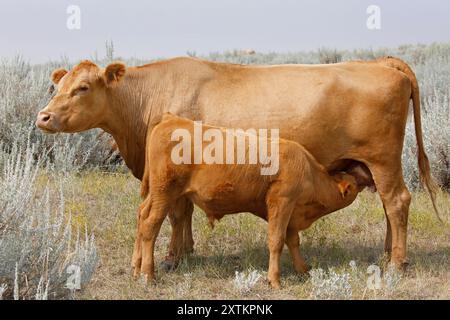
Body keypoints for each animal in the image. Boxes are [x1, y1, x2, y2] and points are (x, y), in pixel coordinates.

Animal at [36, 55, 440, 270]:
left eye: (83, 88)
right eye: (57, 86)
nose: (43, 116)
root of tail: (381, 63)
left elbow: (176, 214)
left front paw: (172, 257)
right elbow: (182, 215)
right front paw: (186, 250)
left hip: (384, 161)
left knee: (397, 202)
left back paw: (396, 262)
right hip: (374, 165)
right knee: (389, 207)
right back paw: (388, 252)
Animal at [134, 114, 370, 288]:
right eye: (355, 183)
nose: (369, 179)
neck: (309, 170)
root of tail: (170, 119)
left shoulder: (289, 212)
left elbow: (292, 240)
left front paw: (303, 270)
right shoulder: (281, 202)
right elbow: (276, 241)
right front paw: (274, 280)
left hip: (156, 195)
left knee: (141, 216)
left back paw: (136, 267)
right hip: (164, 194)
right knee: (150, 226)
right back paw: (148, 275)